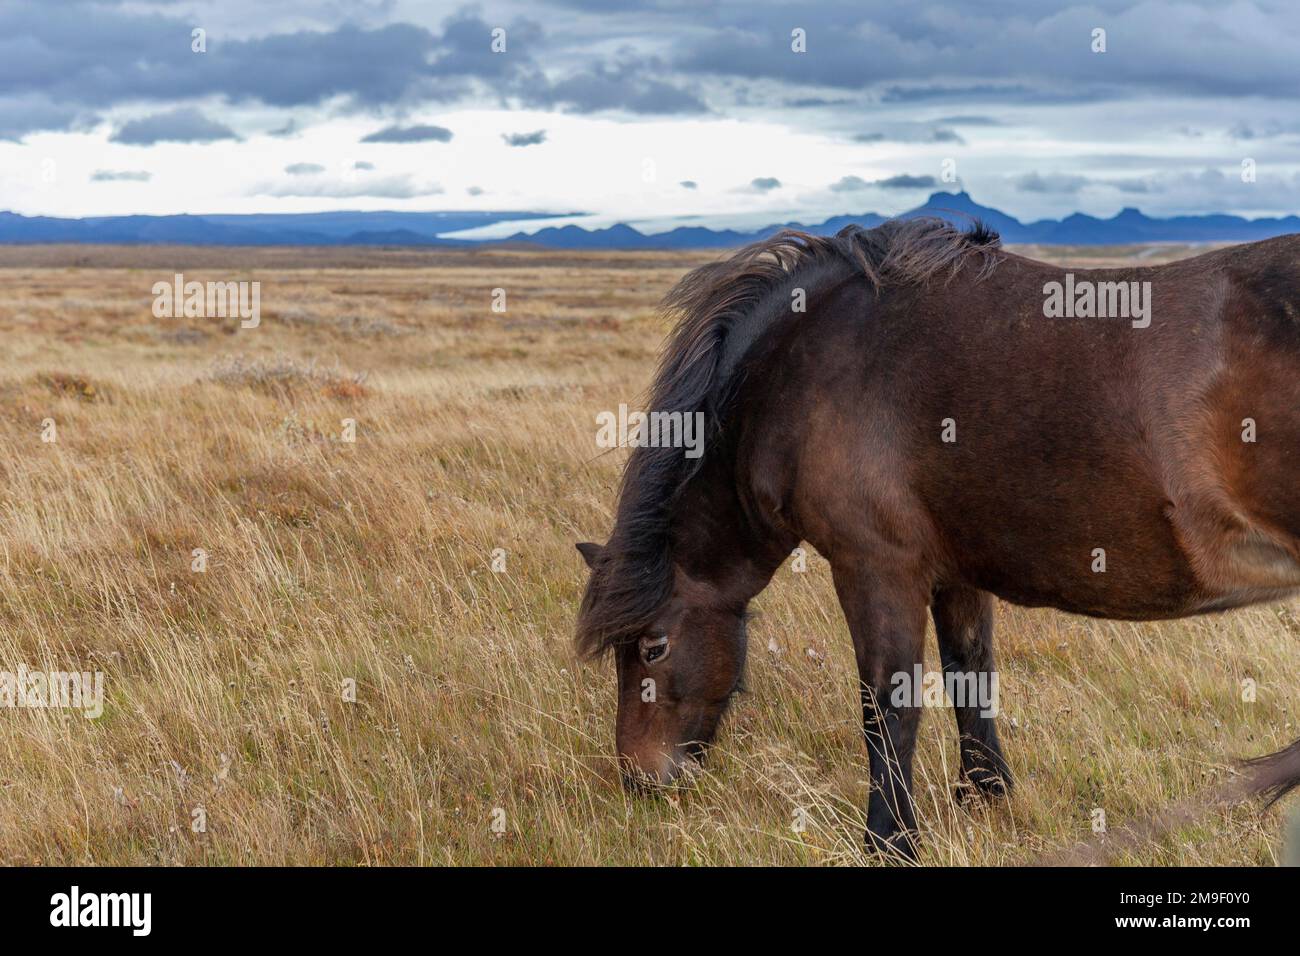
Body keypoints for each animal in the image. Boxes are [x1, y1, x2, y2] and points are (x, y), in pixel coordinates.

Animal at [574, 217, 1300, 861]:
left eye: (654, 646)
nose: (639, 780)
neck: (807, 365)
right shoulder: (956, 572)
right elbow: (970, 676)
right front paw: (986, 795)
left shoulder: (877, 567)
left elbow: (888, 705)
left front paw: (889, 840)